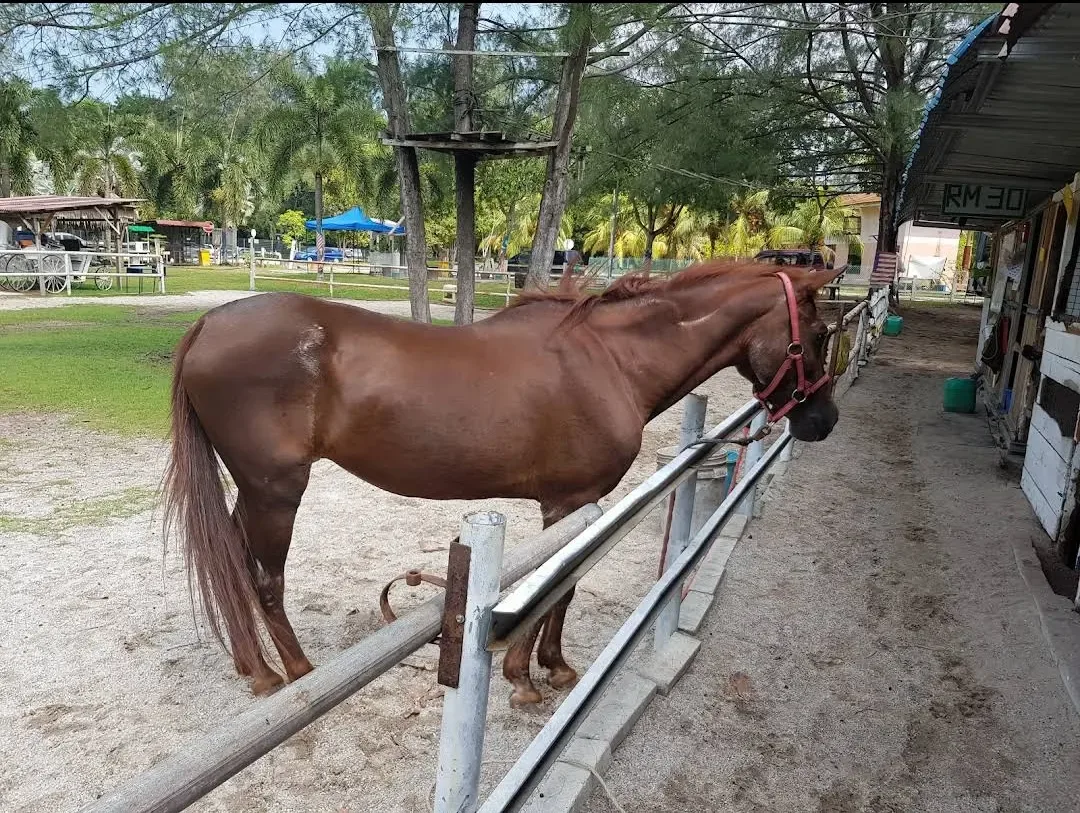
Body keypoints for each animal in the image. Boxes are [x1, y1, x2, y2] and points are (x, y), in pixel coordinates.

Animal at [162, 260, 843, 705]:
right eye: (818, 334)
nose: (824, 420)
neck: (609, 361)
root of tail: (209, 325)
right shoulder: (568, 503)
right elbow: (558, 585)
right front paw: (527, 677)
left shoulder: (575, 505)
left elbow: (564, 586)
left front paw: (551, 665)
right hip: (275, 491)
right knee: (263, 580)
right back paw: (299, 672)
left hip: (253, 492)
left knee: (231, 564)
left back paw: (256, 670)